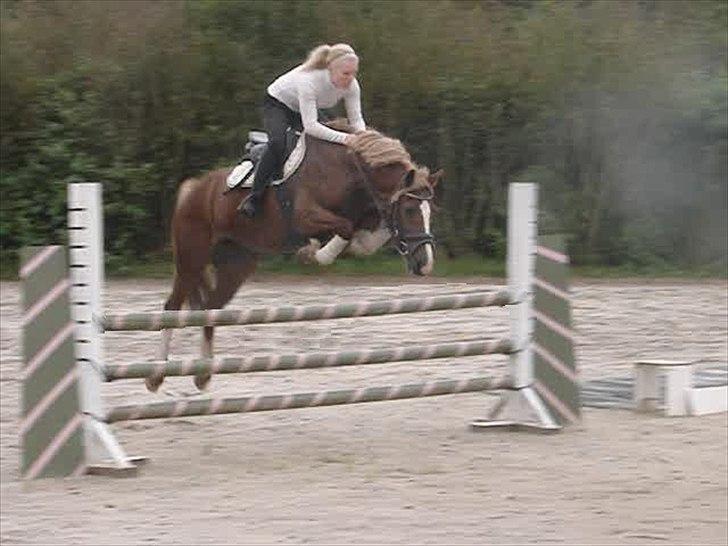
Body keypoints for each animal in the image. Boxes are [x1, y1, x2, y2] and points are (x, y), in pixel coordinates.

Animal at [150, 121, 440, 388]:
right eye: (410, 210)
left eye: (429, 213)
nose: (425, 264)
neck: (351, 172)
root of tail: (192, 189)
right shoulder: (305, 217)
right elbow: (344, 229)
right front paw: (311, 253)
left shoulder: (369, 218)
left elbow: (366, 237)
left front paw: (323, 249)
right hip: (192, 257)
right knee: (172, 306)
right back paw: (156, 375)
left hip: (236, 264)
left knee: (210, 308)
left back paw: (203, 374)